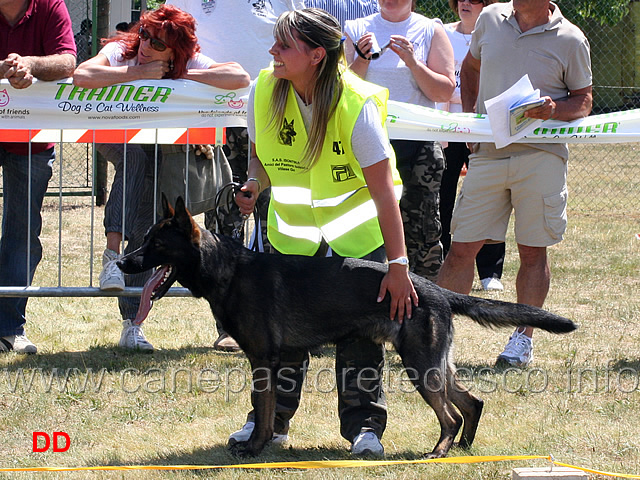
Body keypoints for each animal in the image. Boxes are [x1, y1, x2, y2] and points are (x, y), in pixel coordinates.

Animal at [117, 195, 576, 458]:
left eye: (156, 244)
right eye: (145, 239)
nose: (122, 263)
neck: (226, 270)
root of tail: (434, 289)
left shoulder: (264, 360)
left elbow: (264, 412)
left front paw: (254, 448)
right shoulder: (275, 362)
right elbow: (268, 408)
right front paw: (257, 443)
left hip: (419, 365)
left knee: (449, 413)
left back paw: (440, 450)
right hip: (434, 364)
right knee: (471, 403)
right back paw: (464, 450)